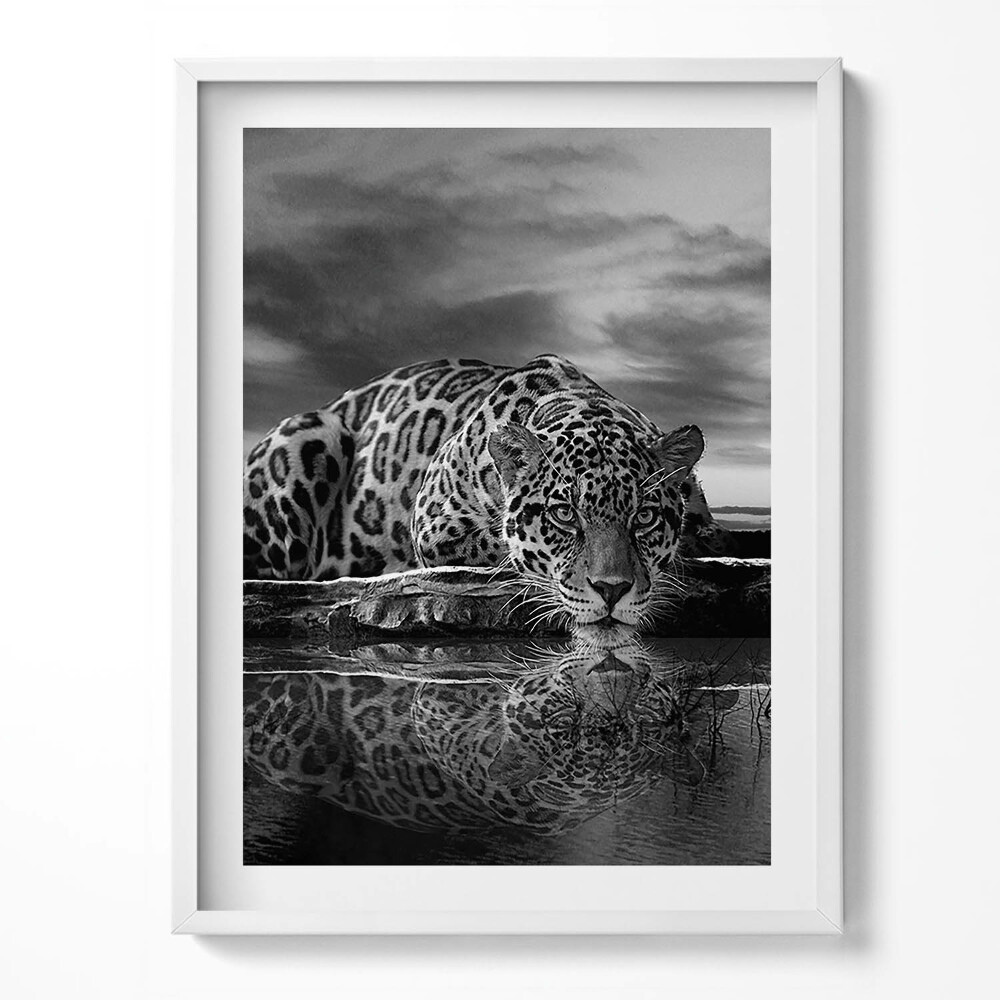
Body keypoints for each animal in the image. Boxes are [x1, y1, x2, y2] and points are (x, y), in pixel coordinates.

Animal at [243, 353, 737, 630]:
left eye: (644, 516)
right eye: (564, 515)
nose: (612, 592)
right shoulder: (434, 526)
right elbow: (504, 543)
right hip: (309, 434)